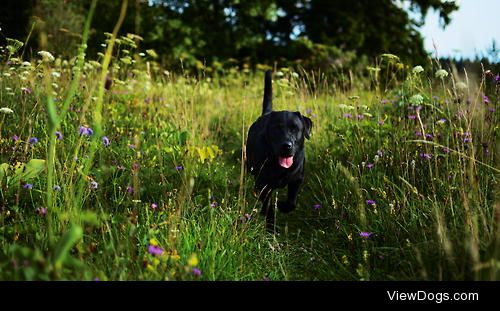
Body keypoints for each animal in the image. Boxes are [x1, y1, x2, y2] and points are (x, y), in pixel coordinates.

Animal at [246, 71, 312, 232]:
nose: (286, 145)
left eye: (295, 129)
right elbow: (269, 207)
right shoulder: (264, 183)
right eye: (277, 128)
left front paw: (283, 206)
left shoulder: (297, 178)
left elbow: (292, 202)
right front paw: (270, 228)